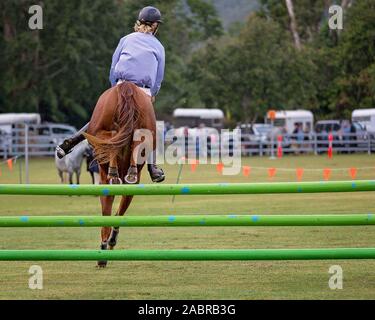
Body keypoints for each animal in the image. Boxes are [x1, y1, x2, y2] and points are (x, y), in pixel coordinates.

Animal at [84, 81, 156, 266]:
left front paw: (106, 244)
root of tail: (127, 87)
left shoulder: (104, 180)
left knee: (112, 137)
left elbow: (109, 212)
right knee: (131, 138)